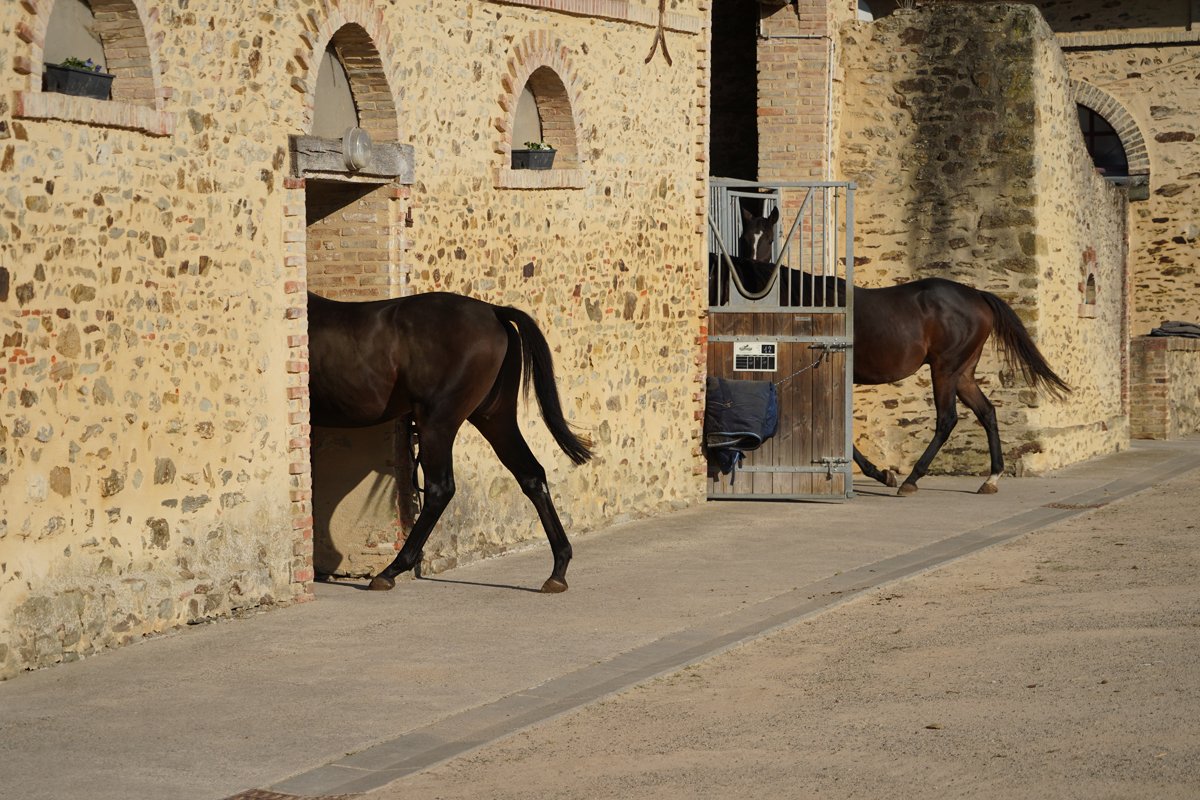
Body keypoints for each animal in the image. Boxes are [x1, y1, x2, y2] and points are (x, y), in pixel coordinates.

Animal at [307, 291, 593, 592]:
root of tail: (494, 312)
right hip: (495, 418)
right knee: (531, 475)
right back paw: (558, 568)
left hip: (436, 423)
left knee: (440, 489)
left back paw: (391, 570)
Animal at [714, 209, 1070, 496]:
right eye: (744, 237)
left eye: (769, 237)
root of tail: (978, 296)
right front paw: (881, 473)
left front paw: (882, 474)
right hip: (963, 373)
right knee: (987, 412)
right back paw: (991, 478)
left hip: (945, 369)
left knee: (947, 419)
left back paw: (912, 479)